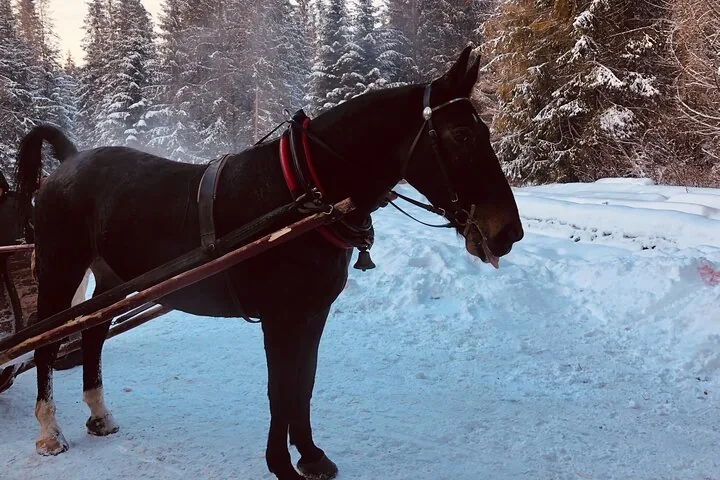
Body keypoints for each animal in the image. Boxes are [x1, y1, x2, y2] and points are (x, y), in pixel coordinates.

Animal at [13, 48, 523, 480]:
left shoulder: (312, 314)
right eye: (461, 135)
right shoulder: (280, 317)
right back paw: (49, 431)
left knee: (92, 334)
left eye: (485, 132)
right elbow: (281, 389)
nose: (509, 232)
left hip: (110, 278)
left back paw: (99, 414)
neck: (304, 191)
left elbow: (304, 385)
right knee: (45, 345)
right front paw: (281, 464)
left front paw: (311, 455)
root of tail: (69, 163)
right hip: (60, 272)